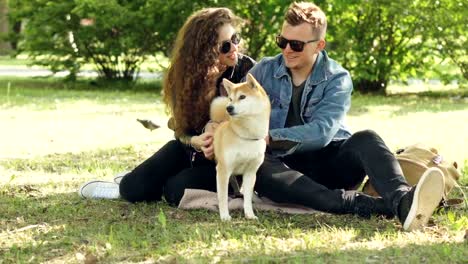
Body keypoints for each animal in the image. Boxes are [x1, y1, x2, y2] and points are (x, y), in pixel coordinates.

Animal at [211, 72, 272, 221]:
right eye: (230, 99)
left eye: (242, 97)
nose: (229, 108)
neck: (246, 136)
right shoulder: (223, 170)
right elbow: (222, 197)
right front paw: (224, 216)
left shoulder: (251, 172)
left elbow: (247, 199)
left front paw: (250, 214)